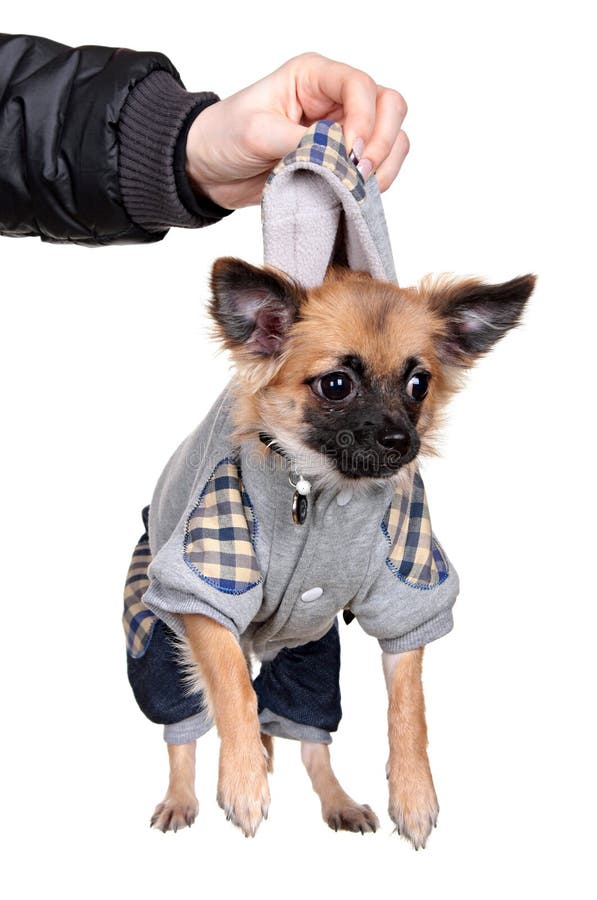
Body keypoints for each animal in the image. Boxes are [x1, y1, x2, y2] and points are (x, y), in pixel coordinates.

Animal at [141, 258, 536, 844]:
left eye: (419, 384)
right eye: (336, 385)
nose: (401, 441)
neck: (325, 491)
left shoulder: (407, 598)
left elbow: (409, 709)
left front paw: (414, 794)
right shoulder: (204, 591)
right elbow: (234, 689)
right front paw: (243, 780)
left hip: (313, 658)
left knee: (310, 741)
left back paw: (339, 802)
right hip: (156, 650)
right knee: (184, 733)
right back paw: (181, 798)